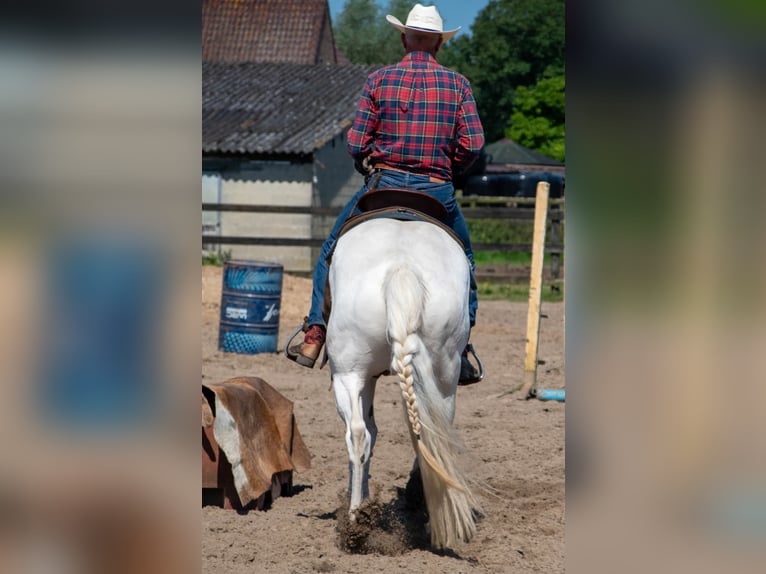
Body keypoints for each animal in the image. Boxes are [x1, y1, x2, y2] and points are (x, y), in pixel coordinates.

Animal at [325, 212, 479, 550]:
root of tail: (402, 269)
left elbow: (369, 433)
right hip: (443, 377)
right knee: (433, 434)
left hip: (347, 373)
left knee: (357, 435)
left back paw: (354, 521)